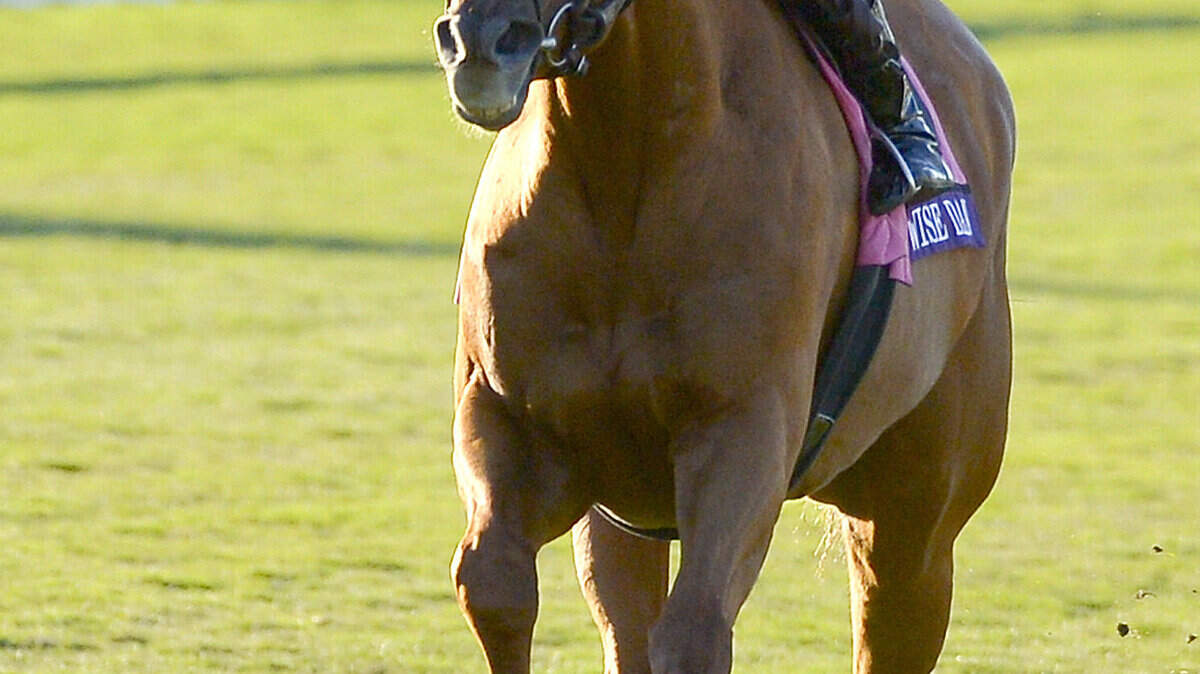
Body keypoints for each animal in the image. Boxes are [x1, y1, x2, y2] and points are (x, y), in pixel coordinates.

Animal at [433, 0, 1015, 670]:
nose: (480, 41)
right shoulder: (510, 419)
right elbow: (492, 583)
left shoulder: (742, 432)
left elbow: (695, 628)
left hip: (913, 525)